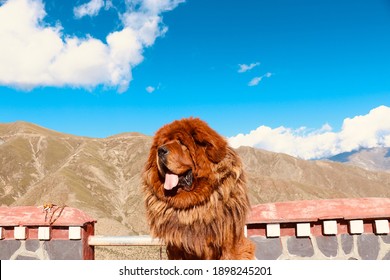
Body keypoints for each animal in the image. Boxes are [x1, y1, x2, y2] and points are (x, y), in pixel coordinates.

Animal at [142, 117, 254, 260]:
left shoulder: (228, 240)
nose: (160, 150)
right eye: (163, 143)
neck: (192, 207)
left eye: (181, 143)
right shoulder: (175, 246)